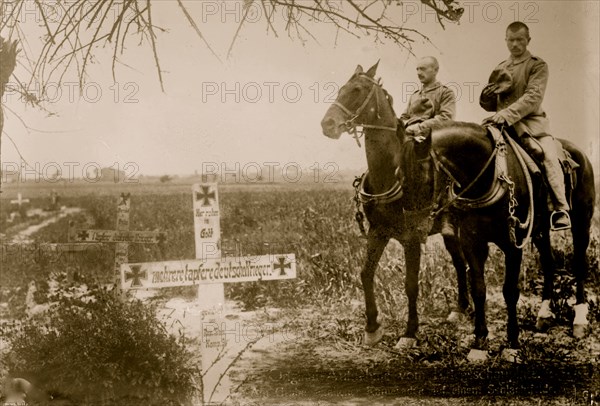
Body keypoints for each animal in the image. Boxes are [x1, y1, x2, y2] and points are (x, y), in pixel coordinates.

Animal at [322, 61, 592, 358]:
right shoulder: (379, 231)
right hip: (522, 230)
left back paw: (579, 319)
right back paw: (513, 313)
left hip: (580, 223)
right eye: (343, 88)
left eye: (357, 90)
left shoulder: (412, 239)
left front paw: (409, 334)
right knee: (538, 261)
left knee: (578, 263)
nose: (327, 124)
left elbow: (411, 284)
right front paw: (372, 329)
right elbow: (366, 274)